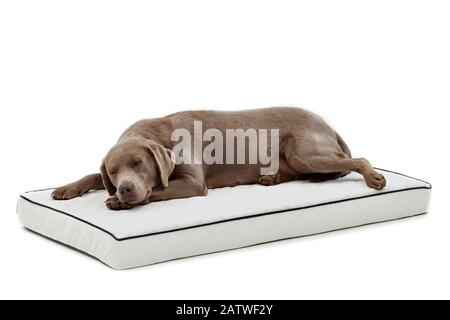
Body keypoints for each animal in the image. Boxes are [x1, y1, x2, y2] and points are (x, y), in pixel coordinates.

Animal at [51, 107, 384, 210]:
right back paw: (272, 177)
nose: (125, 189)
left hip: (306, 153)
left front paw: (118, 202)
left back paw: (374, 177)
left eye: (139, 164)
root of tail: (326, 122)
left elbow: (157, 190)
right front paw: (67, 188)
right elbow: (92, 176)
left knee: (357, 160)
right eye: (114, 171)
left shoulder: (193, 182)